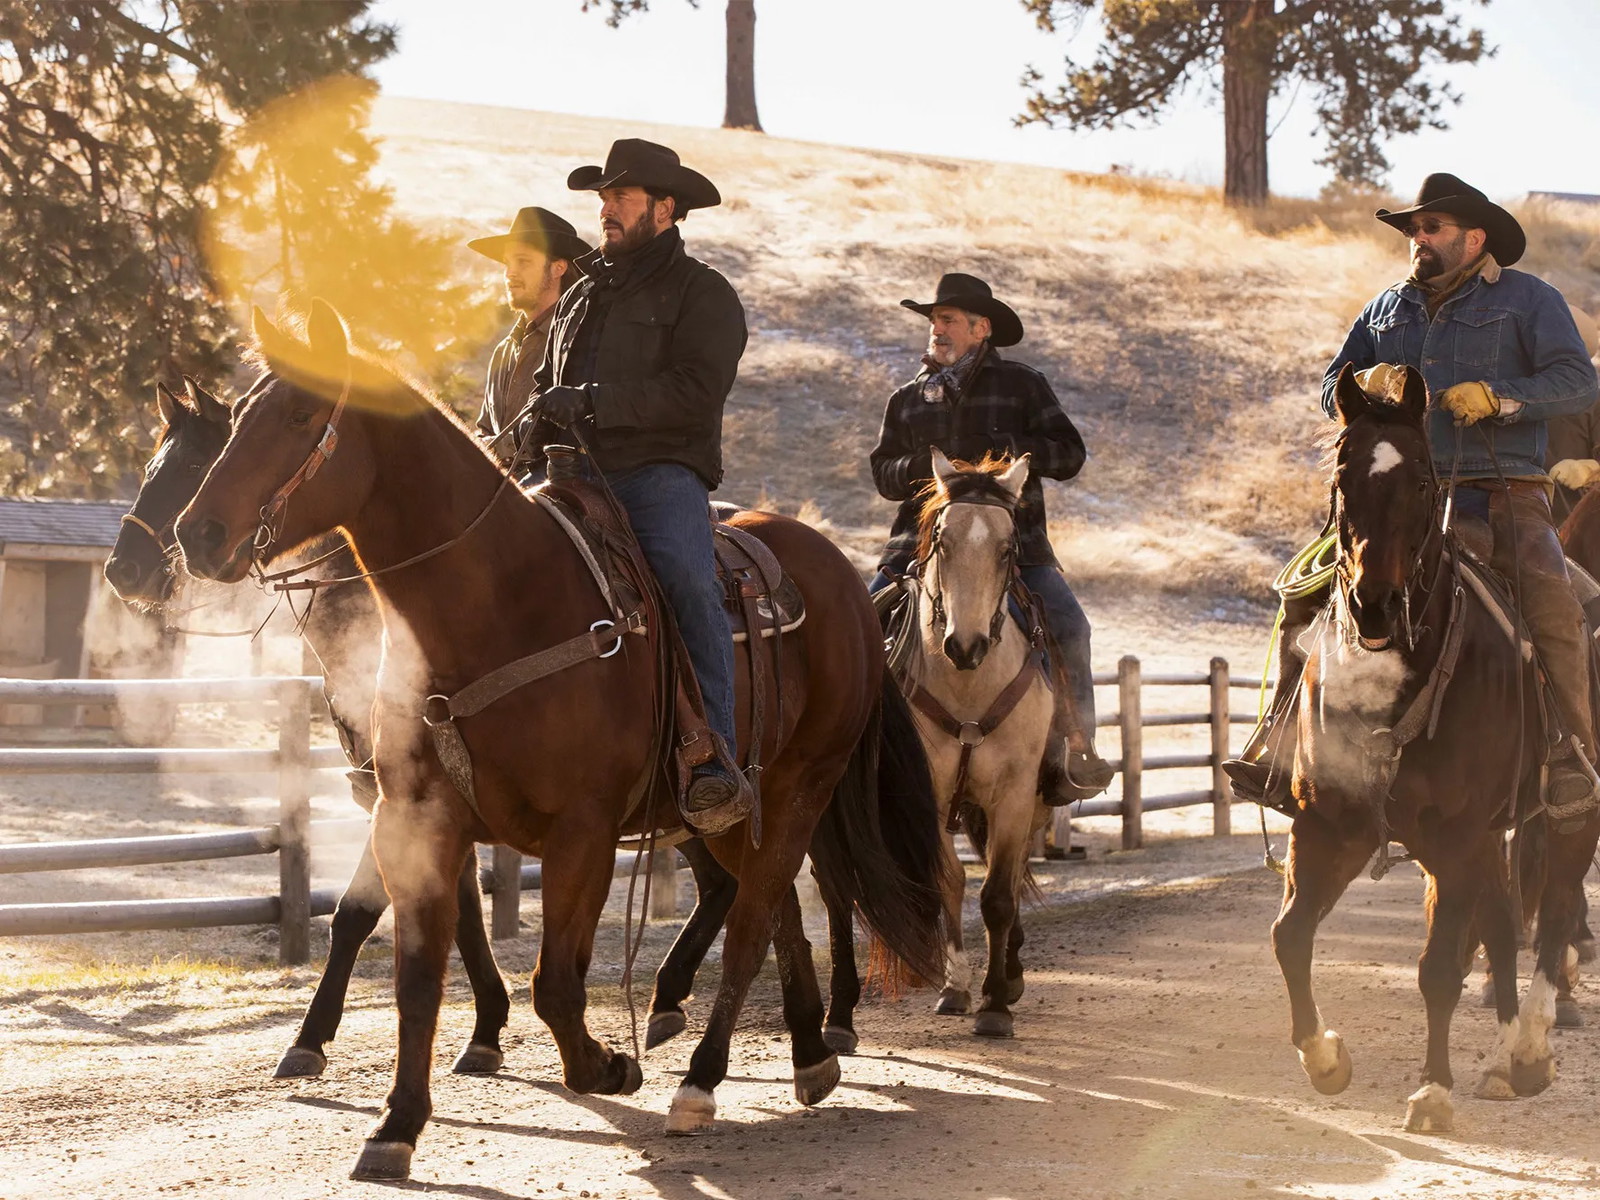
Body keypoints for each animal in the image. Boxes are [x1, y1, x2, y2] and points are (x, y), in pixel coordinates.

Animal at [175, 305, 947, 1190]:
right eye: (241, 414)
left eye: (302, 416)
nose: (196, 533)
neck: (497, 602)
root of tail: (847, 579)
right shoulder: (418, 822)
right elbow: (415, 979)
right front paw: (396, 1126)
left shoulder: (583, 829)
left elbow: (555, 985)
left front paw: (608, 1066)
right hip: (736, 809)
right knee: (774, 908)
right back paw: (810, 1053)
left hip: (800, 786)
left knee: (756, 922)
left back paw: (702, 1081)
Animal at [896, 451, 1056, 1043]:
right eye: (943, 541)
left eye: (1008, 548)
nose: (964, 646)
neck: (968, 687)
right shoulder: (931, 793)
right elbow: (952, 881)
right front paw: (957, 987)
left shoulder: (1014, 794)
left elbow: (999, 895)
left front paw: (995, 1003)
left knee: (1012, 873)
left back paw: (1011, 973)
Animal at [1273, 366, 1600, 1139]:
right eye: (1342, 474)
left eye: (1423, 480)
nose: (1374, 604)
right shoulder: (1329, 826)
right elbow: (1290, 936)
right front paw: (1325, 1058)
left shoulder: (1456, 836)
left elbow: (1438, 968)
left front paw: (1432, 1091)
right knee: (1507, 921)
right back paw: (1505, 1058)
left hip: (1565, 814)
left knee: (1555, 911)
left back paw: (1531, 1044)